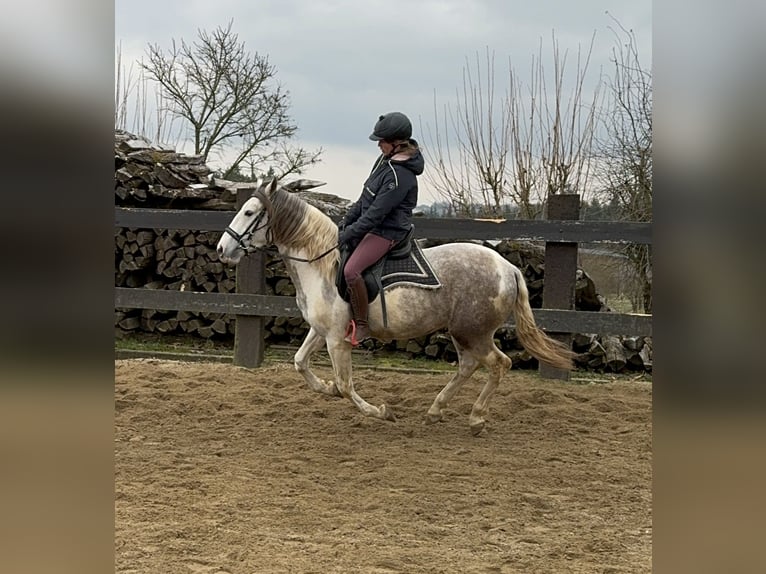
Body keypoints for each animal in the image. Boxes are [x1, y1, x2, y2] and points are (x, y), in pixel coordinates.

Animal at [216, 178, 576, 434]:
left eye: (249, 213)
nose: (222, 249)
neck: (321, 264)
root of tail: (508, 267)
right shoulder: (321, 332)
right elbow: (300, 363)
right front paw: (326, 388)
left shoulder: (336, 340)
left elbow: (346, 386)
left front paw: (380, 411)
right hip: (464, 334)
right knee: (468, 367)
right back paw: (435, 411)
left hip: (473, 333)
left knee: (500, 364)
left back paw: (476, 419)